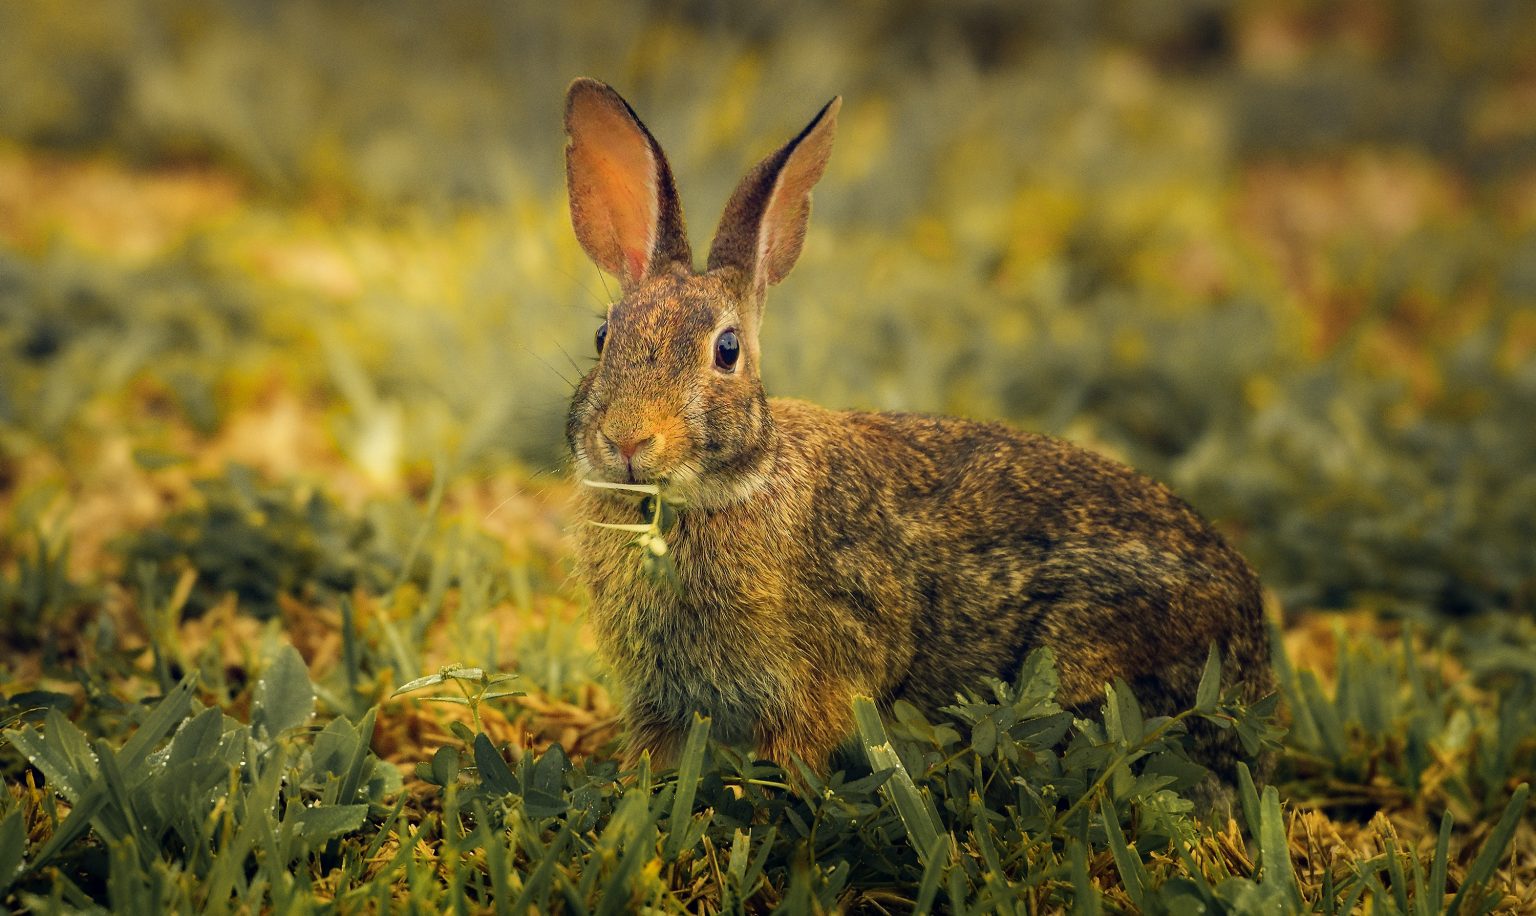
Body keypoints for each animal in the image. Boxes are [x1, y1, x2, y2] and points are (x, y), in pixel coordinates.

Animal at [562, 78, 1271, 805]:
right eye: (603, 337)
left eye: (726, 351)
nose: (626, 440)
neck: (711, 494)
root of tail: (1255, 653)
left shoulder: (820, 678)